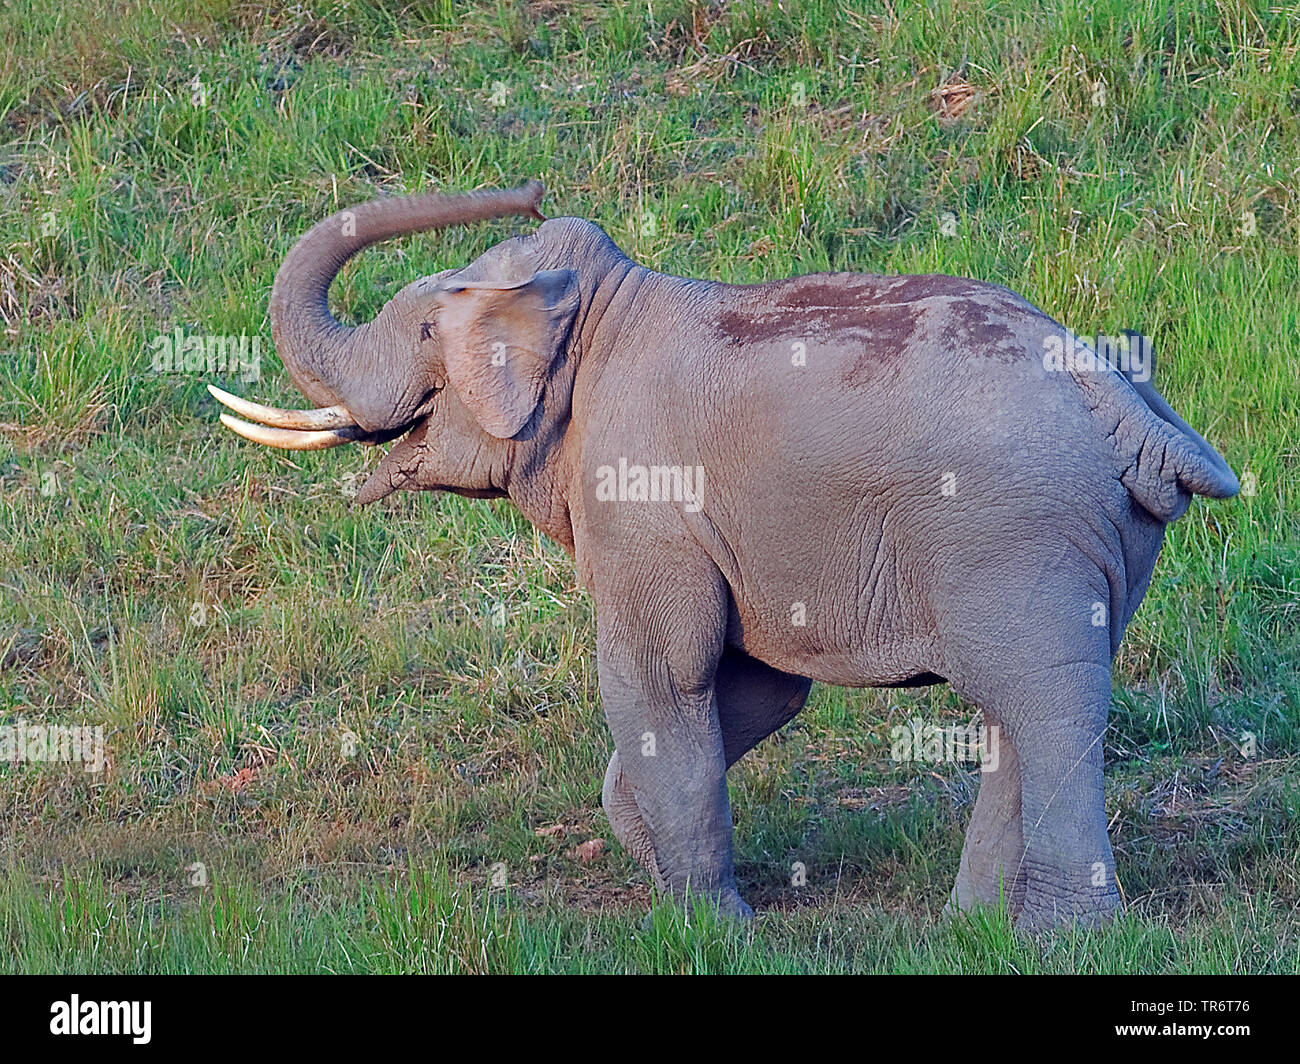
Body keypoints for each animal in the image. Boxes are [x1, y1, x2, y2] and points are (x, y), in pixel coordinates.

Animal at [213, 178, 1237, 926]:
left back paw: (1059, 938)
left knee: (1045, 699)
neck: (601, 305)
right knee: (1023, 704)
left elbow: (661, 676)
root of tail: (1124, 400)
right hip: (1089, 541)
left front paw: (710, 927)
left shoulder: (641, 504)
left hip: (1014, 530)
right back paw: (973, 928)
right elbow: (758, 688)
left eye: (428, 329)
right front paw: (669, 872)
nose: (531, 193)